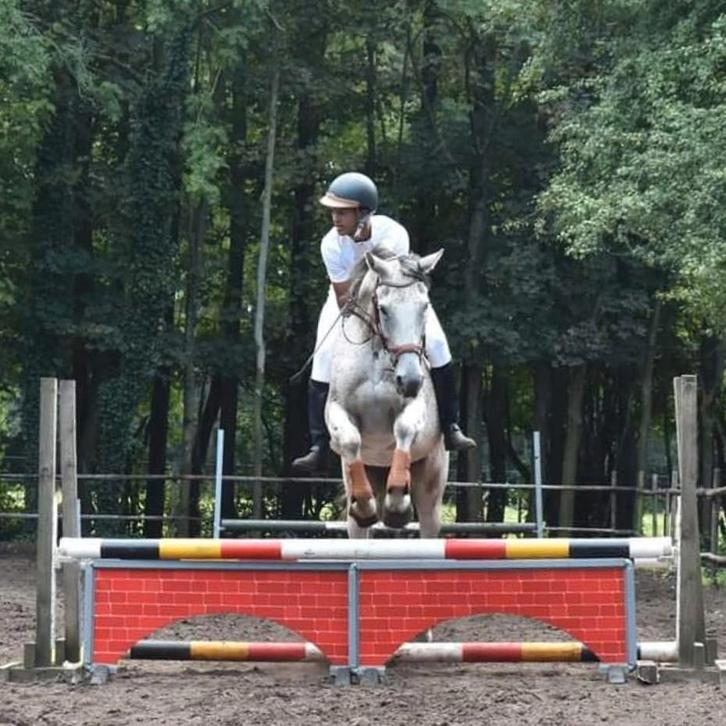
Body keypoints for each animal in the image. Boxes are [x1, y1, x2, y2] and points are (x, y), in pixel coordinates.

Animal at [325, 248, 449, 538]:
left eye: (425, 306)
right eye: (383, 309)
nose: (411, 380)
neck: (376, 352)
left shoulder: (415, 408)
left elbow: (404, 428)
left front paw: (397, 505)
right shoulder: (338, 410)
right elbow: (350, 440)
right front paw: (366, 505)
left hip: (431, 485)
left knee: (428, 520)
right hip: (367, 477)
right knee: (359, 524)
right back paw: (365, 506)